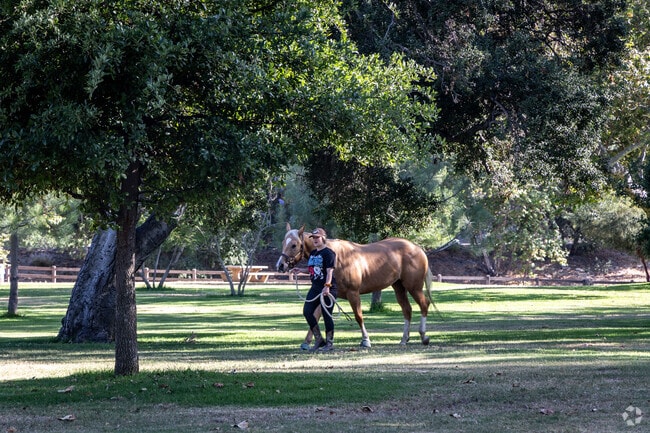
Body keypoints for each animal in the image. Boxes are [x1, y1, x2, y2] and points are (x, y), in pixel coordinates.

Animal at [276, 223, 434, 348]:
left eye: (294, 245)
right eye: (283, 242)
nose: (280, 265)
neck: (337, 258)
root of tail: (417, 248)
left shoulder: (353, 293)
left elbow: (358, 316)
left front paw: (366, 340)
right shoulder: (326, 295)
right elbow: (316, 315)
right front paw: (308, 342)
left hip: (414, 287)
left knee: (424, 304)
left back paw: (424, 336)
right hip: (399, 287)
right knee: (407, 310)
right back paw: (404, 339)